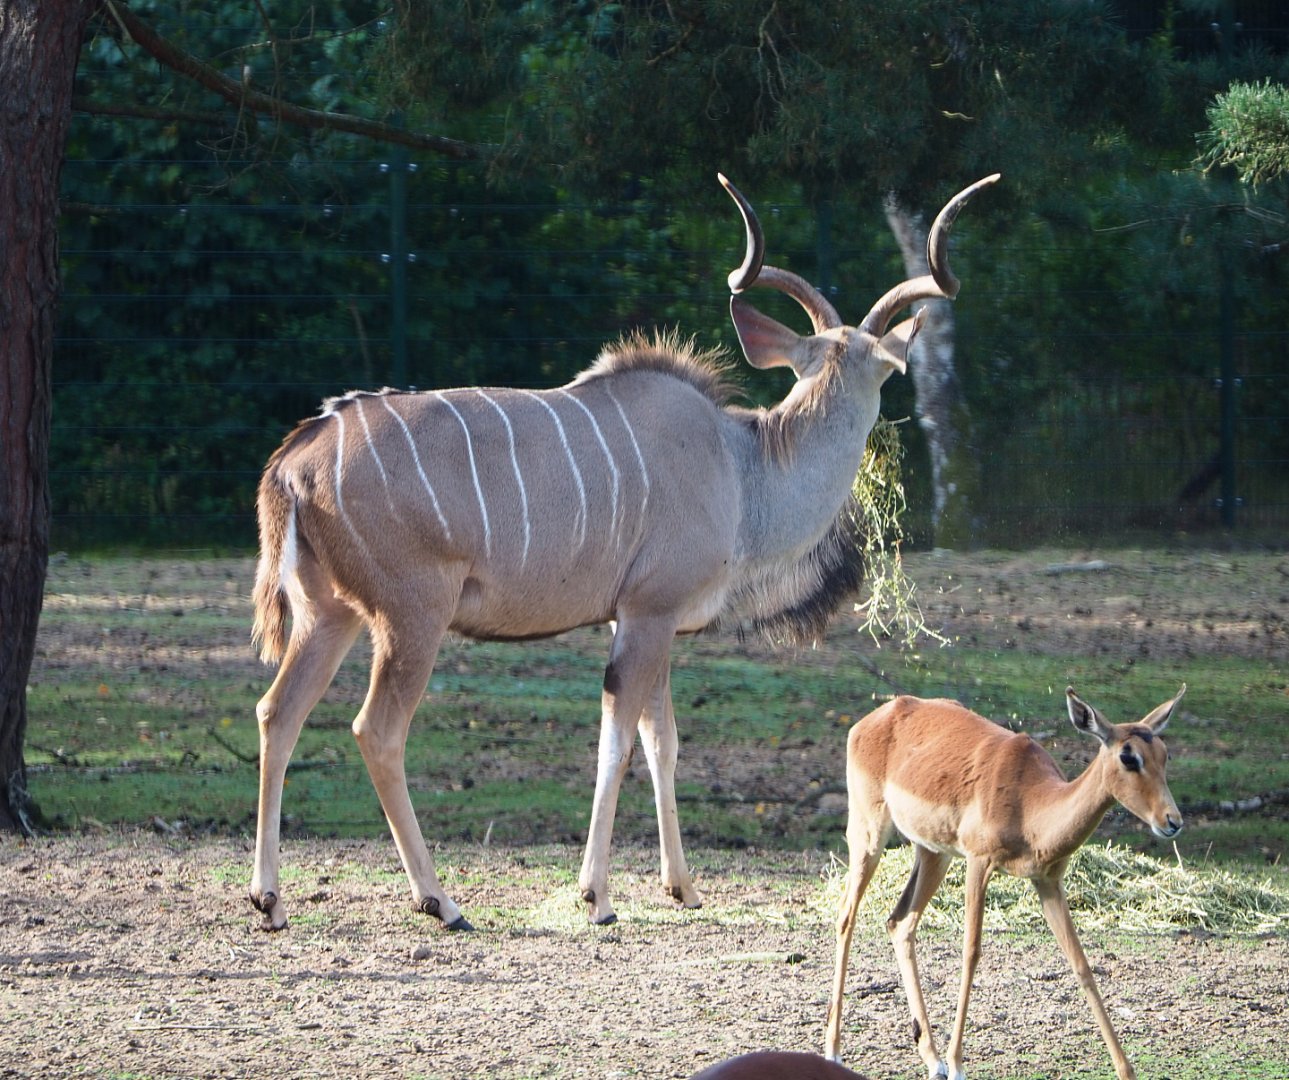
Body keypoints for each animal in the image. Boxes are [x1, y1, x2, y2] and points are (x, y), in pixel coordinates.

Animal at [248, 171, 998, 932]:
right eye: (883, 370)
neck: (743, 464)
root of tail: (297, 457)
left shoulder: (649, 621)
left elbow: (661, 742)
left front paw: (683, 888)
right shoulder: (647, 613)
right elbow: (617, 741)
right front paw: (597, 897)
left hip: (330, 615)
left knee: (278, 712)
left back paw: (270, 897)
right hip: (411, 617)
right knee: (376, 730)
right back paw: (441, 901)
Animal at [824, 686, 1187, 1080]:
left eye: (1165, 754)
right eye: (1128, 756)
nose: (1172, 821)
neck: (1031, 805)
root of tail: (880, 715)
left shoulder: (1047, 882)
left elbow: (1081, 964)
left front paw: (1126, 1070)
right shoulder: (978, 863)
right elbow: (971, 952)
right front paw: (958, 1065)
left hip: (933, 853)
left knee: (900, 922)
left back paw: (932, 1059)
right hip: (869, 834)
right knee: (846, 916)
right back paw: (834, 1052)